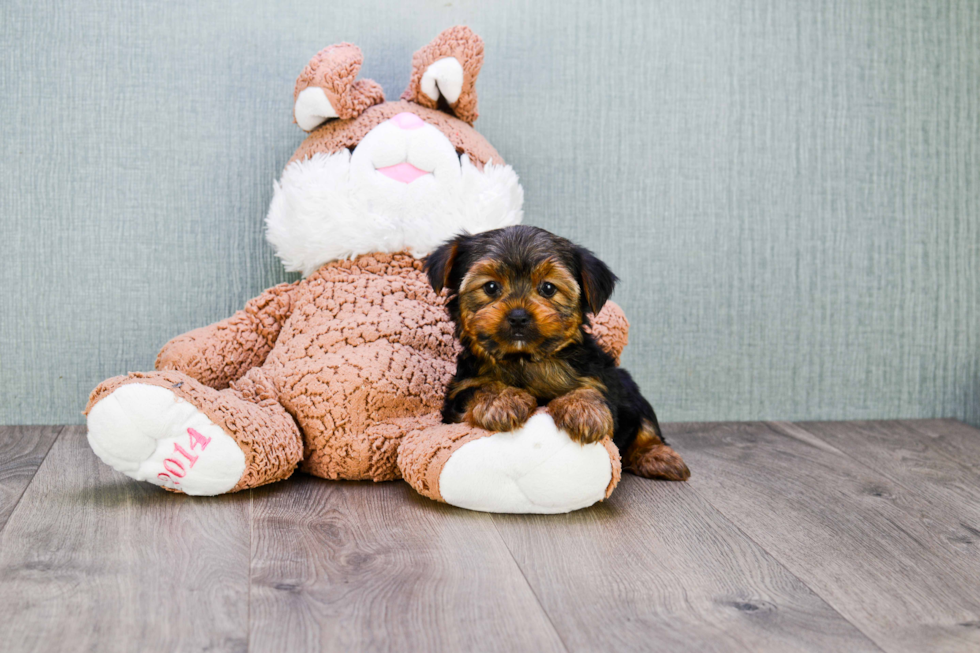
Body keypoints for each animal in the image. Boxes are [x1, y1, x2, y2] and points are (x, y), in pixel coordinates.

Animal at [426, 224, 688, 478]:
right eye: (490, 287)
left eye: (548, 288)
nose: (518, 316)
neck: (524, 360)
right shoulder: (457, 394)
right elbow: (477, 388)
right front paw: (501, 400)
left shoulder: (600, 378)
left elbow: (592, 391)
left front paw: (583, 410)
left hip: (628, 387)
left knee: (646, 423)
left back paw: (659, 457)